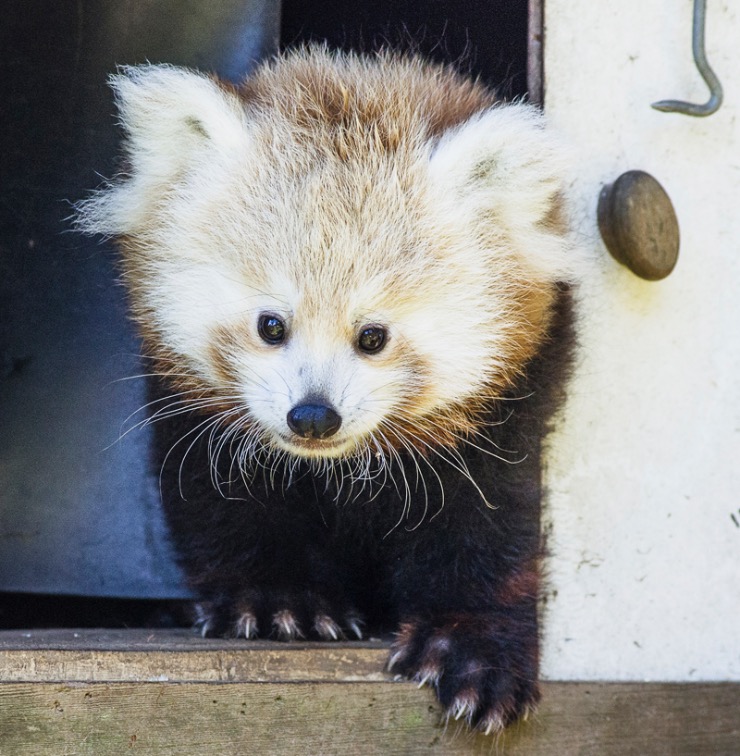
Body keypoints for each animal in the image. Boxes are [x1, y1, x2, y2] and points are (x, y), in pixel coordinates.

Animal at [78, 45, 580, 732]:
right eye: (271, 325)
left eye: (373, 336)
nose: (313, 416)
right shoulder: (187, 406)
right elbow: (223, 504)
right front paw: (278, 601)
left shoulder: (511, 405)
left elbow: (492, 527)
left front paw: (474, 649)